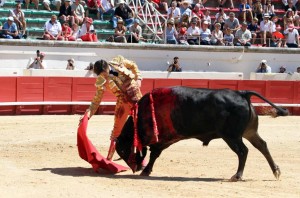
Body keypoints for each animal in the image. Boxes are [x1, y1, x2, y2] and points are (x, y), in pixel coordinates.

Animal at [115, 86, 288, 181]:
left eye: (123, 149)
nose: (136, 168)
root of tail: (241, 93)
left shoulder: (163, 138)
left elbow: (154, 153)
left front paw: (146, 170)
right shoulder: (168, 139)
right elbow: (155, 154)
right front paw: (146, 170)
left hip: (231, 136)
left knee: (243, 151)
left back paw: (237, 176)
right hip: (249, 132)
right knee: (262, 146)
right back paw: (276, 171)